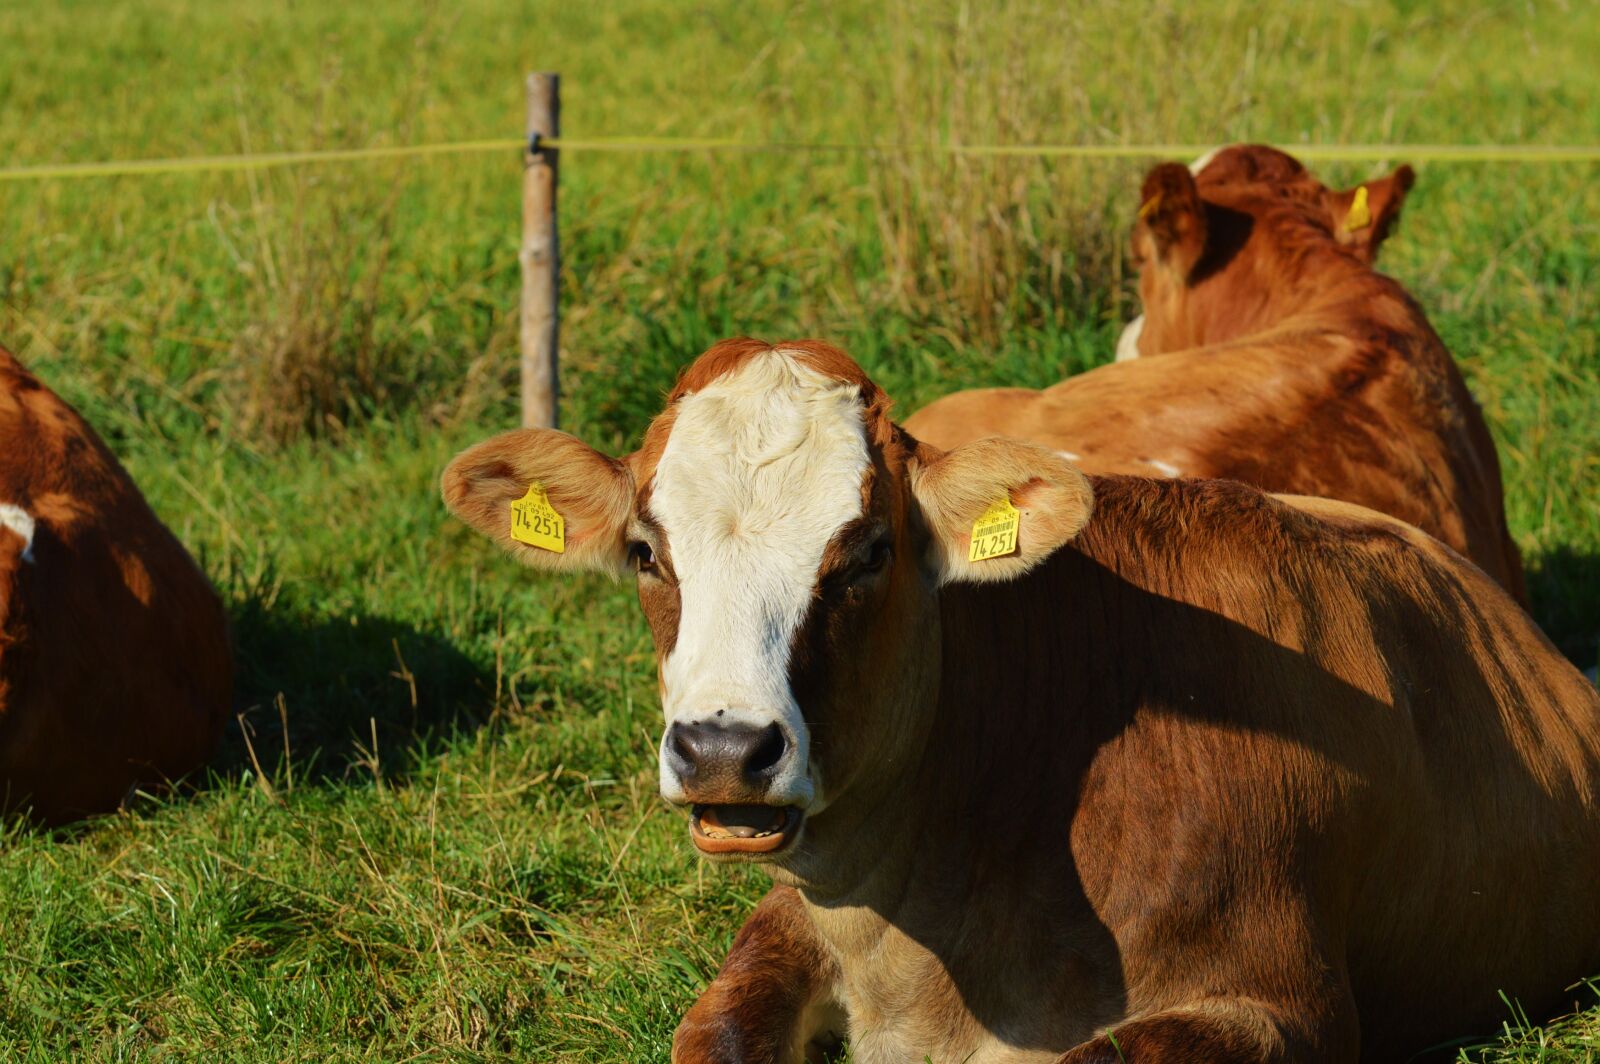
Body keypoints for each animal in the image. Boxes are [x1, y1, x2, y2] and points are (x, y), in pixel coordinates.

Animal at [442, 338, 1600, 1063]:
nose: (724, 750)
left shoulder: (1281, 1003)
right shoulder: (792, 908)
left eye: (869, 553)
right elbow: (717, 1026)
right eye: (646, 550)